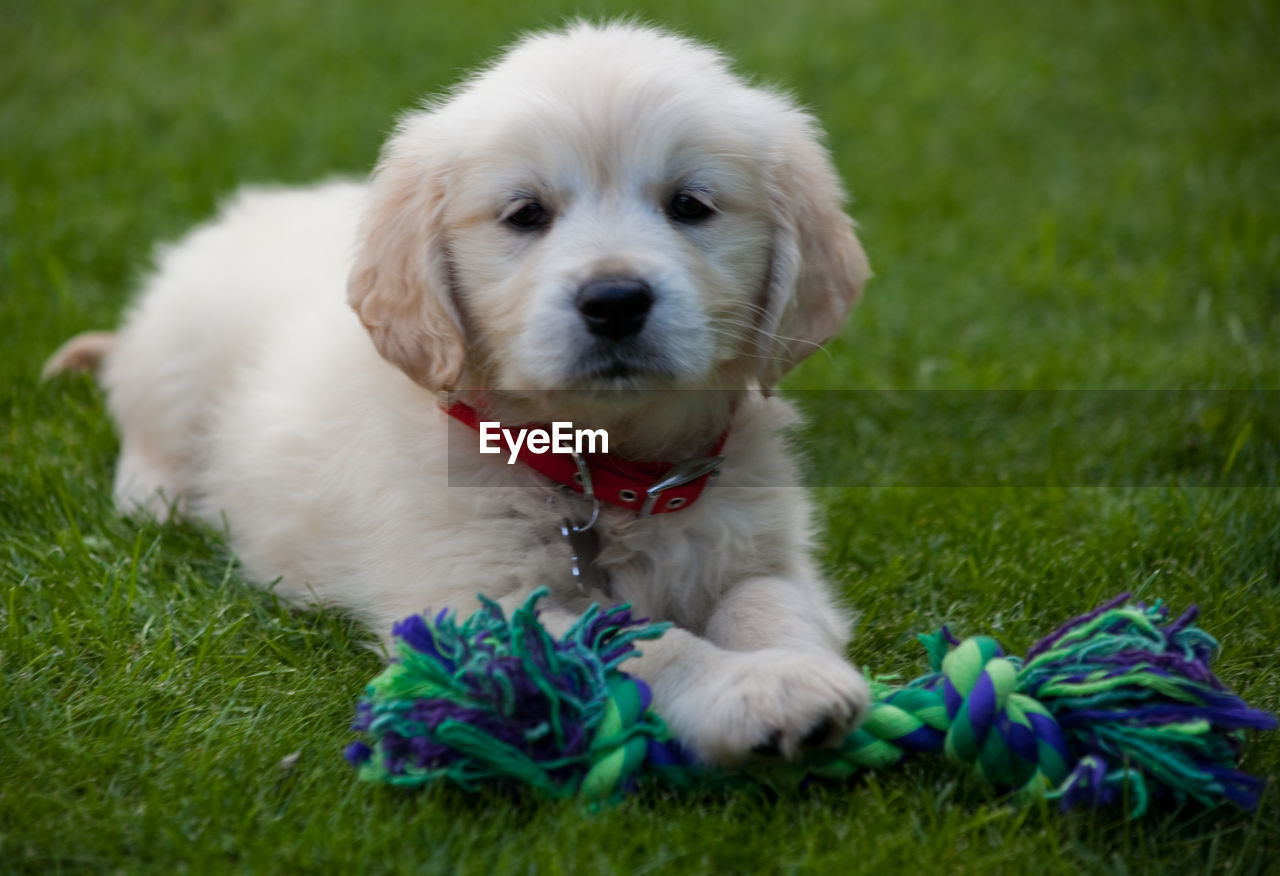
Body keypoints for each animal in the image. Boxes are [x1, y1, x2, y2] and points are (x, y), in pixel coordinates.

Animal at [47, 22, 870, 768]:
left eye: (690, 205)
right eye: (525, 213)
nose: (614, 301)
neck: (606, 472)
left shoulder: (764, 549)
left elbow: (768, 603)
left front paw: (800, 675)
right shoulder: (481, 604)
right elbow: (641, 644)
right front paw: (750, 692)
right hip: (176, 352)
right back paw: (157, 492)